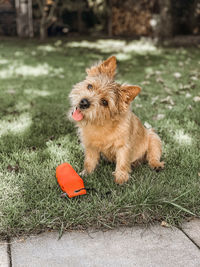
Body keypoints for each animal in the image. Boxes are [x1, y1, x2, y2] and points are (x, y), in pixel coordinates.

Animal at [69, 56, 164, 186]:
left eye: (104, 102)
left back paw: (156, 164)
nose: (84, 102)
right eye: (90, 86)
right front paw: (86, 173)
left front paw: (121, 178)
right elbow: (89, 161)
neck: (100, 124)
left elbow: (122, 162)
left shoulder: (123, 147)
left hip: (153, 138)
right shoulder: (91, 146)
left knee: (153, 156)